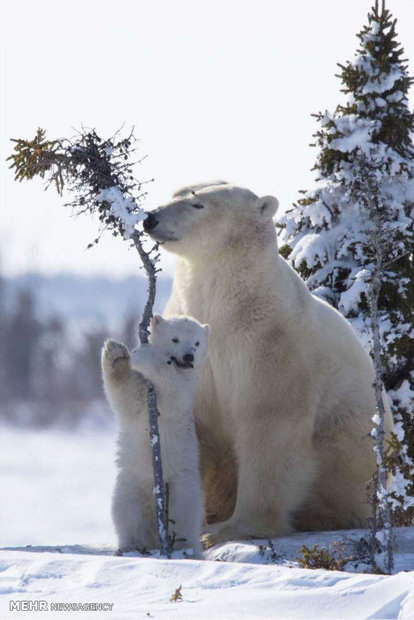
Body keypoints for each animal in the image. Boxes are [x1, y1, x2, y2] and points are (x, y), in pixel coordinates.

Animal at [100, 312, 210, 556]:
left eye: (197, 343)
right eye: (175, 339)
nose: (189, 357)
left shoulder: (184, 392)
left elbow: (171, 391)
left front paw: (145, 356)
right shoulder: (139, 400)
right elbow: (126, 397)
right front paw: (115, 350)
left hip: (183, 486)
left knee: (184, 515)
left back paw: (183, 548)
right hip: (131, 484)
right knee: (126, 512)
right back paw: (130, 546)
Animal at [141, 179, 390, 544]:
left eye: (198, 204)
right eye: (175, 193)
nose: (151, 219)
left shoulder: (268, 343)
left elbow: (269, 424)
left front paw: (229, 529)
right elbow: (189, 423)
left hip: (349, 445)